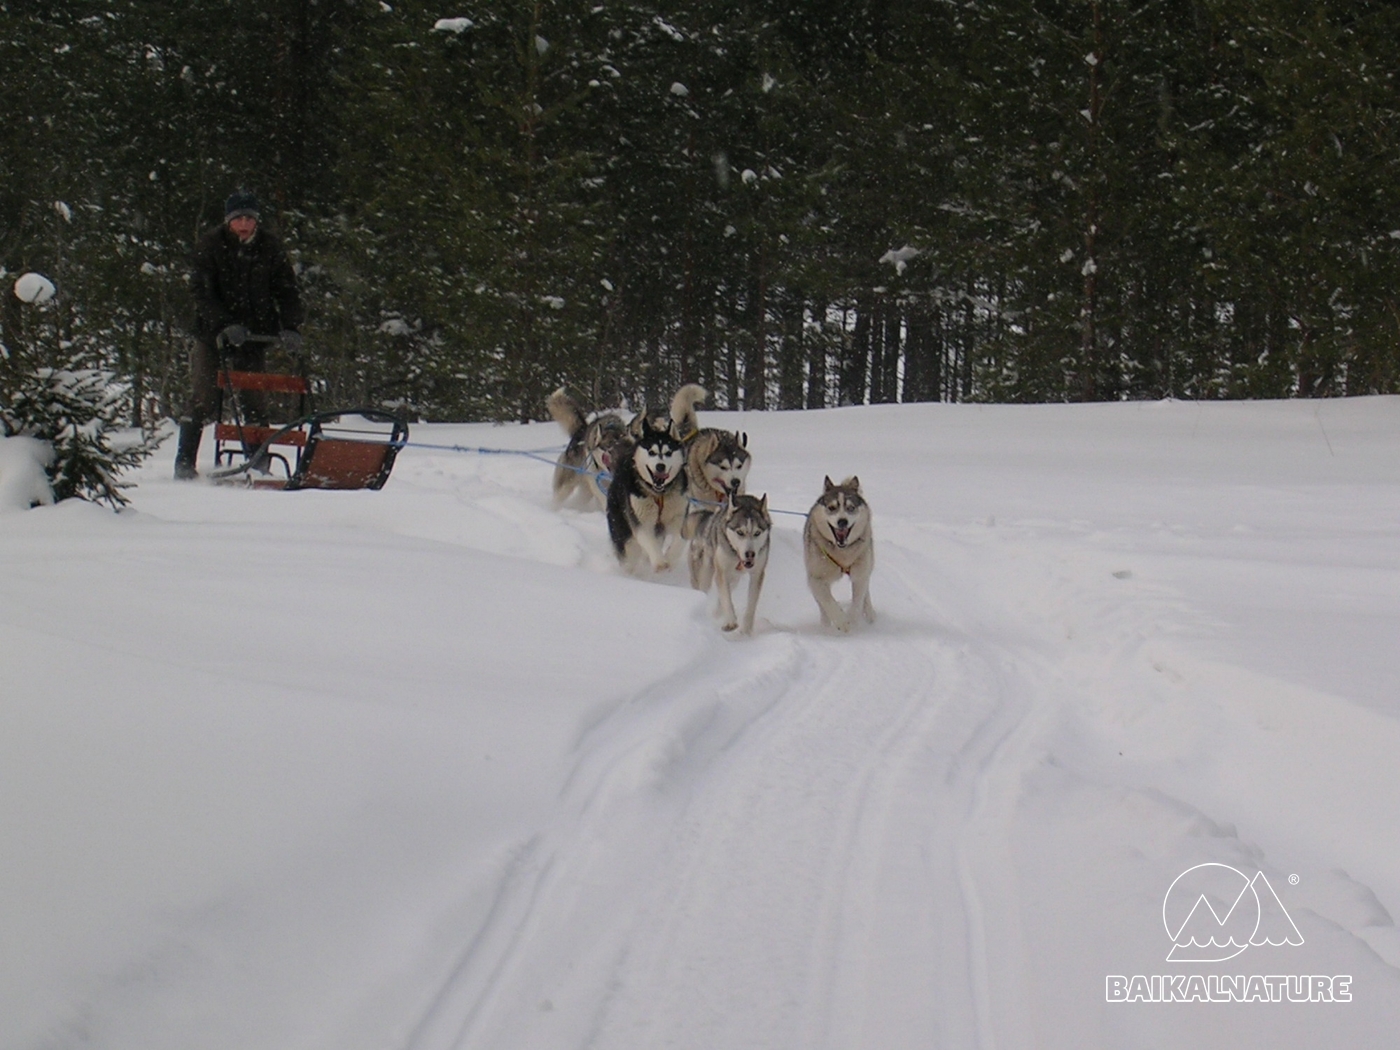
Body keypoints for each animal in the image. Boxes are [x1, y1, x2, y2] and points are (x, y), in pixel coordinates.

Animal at [607, 408, 688, 576]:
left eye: (669, 452)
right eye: (651, 452)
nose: (660, 466)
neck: (659, 495)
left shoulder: (679, 516)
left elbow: (679, 540)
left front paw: (670, 559)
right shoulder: (641, 522)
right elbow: (649, 542)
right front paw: (660, 562)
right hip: (623, 534)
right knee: (629, 558)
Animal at [691, 492, 778, 632]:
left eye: (757, 533)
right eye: (740, 532)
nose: (750, 554)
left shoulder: (757, 574)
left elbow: (751, 604)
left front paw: (746, 630)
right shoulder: (722, 572)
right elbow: (726, 598)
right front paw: (731, 621)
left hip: (735, 578)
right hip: (708, 570)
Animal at [806, 476, 868, 632]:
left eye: (850, 508)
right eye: (832, 508)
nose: (842, 521)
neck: (843, 553)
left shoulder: (860, 575)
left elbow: (858, 601)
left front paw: (852, 620)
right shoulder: (816, 578)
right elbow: (827, 601)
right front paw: (842, 622)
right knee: (822, 606)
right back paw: (826, 625)